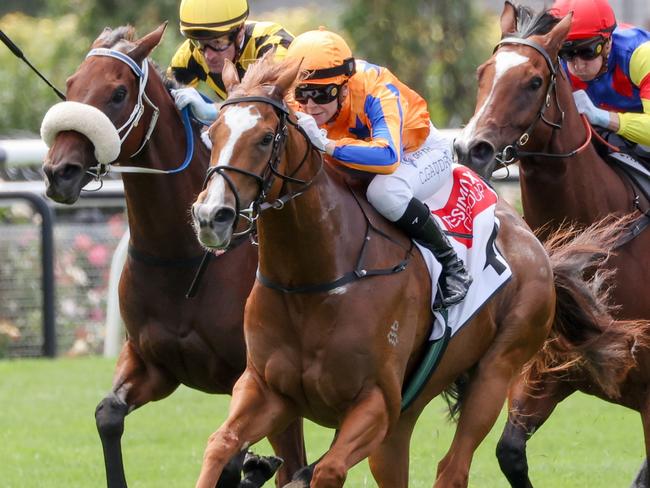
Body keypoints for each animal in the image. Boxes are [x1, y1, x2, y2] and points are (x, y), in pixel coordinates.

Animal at [39, 23, 306, 488]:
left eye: (117, 93)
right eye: (71, 84)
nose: (60, 172)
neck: (181, 257)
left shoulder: (257, 378)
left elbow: (236, 456)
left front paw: (250, 466)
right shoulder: (152, 362)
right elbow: (108, 414)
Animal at [186, 53, 624, 488]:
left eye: (264, 138)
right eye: (213, 134)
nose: (211, 216)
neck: (312, 281)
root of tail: (533, 244)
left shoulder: (376, 403)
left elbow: (328, 469)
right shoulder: (267, 390)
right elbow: (220, 444)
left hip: (496, 370)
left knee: (452, 468)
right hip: (407, 412)